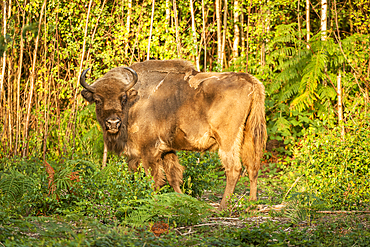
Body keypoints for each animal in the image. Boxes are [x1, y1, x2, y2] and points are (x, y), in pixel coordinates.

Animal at [81, 59, 266, 208]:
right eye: (98, 100)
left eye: (123, 98)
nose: (113, 123)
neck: (135, 100)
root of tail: (250, 81)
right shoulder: (167, 150)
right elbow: (173, 176)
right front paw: (181, 200)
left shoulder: (148, 151)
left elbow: (153, 179)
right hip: (248, 134)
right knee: (253, 166)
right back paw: (252, 203)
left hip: (227, 140)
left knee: (234, 169)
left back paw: (222, 207)